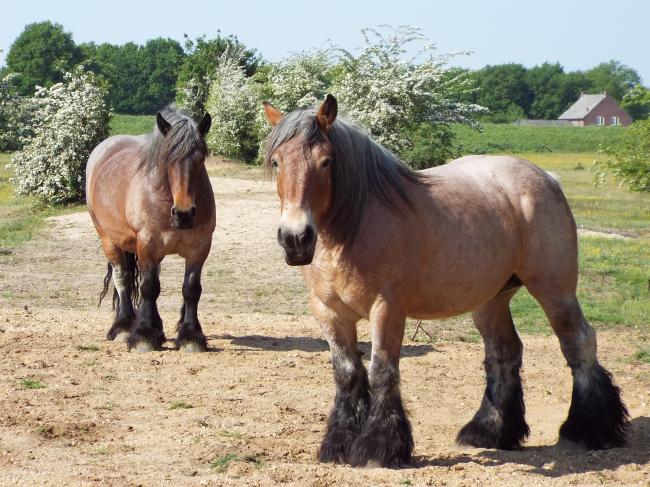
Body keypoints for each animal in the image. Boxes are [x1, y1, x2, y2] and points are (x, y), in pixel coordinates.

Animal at [83, 107, 214, 350]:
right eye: (167, 159)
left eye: (201, 158)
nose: (184, 213)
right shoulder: (147, 245)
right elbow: (148, 288)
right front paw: (143, 335)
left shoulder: (199, 247)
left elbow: (191, 290)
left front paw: (191, 335)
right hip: (109, 240)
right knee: (123, 279)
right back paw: (124, 326)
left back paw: (156, 328)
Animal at [262, 95, 628, 468]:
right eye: (276, 161)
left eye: (325, 162)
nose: (295, 238)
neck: (354, 228)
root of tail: (547, 178)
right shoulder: (328, 313)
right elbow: (347, 374)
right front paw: (338, 444)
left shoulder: (387, 310)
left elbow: (383, 372)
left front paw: (378, 448)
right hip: (491, 300)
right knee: (504, 352)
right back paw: (490, 432)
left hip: (555, 291)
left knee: (578, 343)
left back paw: (589, 430)